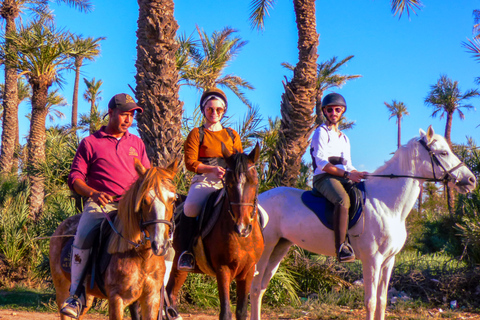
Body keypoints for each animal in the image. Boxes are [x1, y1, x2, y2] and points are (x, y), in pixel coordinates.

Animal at [49, 159, 179, 318]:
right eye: (144, 200)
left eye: (173, 200)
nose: (159, 245)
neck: (141, 255)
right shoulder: (117, 299)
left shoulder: (151, 298)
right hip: (62, 288)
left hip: (88, 296)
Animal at [167, 143, 264, 320]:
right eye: (229, 184)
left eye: (254, 183)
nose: (242, 228)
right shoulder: (223, 270)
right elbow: (225, 313)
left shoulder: (248, 272)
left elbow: (241, 312)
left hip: (176, 268)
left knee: (170, 295)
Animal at [251, 127, 476, 320]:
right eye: (444, 153)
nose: (472, 180)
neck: (387, 204)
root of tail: (258, 200)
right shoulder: (372, 260)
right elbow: (370, 302)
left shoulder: (388, 261)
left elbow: (382, 301)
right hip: (266, 249)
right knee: (254, 287)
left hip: (280, 247)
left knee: (261, 287)